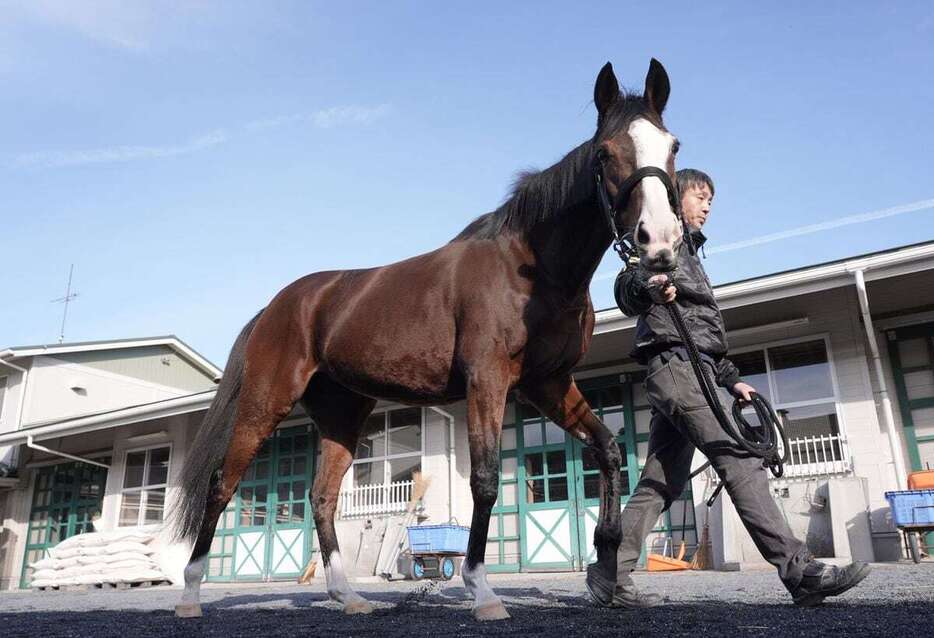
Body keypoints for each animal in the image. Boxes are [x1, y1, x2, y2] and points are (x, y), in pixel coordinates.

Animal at [172, 58, 684, 620]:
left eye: (673, 146)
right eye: (604, 153)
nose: (660, 242)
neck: (531, 267)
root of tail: (278, 306)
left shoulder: (548, 384)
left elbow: (609, 452)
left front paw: (608, 567)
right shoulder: (488, 381)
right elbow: (484, 480)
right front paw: (482, 591)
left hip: (342, 416)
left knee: (323, 498)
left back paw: (348, 596)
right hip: (266, 402)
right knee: (222, 485)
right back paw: (190, 596)